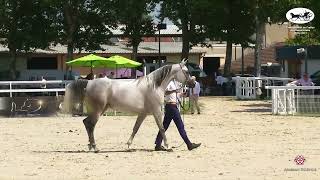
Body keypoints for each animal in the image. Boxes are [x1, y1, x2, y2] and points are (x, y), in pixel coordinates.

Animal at [63, 59, 195, 150]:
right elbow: (162, 128)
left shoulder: (143, 113)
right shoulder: (157, 111)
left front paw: (129, 145)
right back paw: (95, 147)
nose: (193, 83)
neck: (154, 86)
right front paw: (167, 146)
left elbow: (136, 128)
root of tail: (89, 83)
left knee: (87, 123)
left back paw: (91, 146)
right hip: (97, 110)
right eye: (186, 71)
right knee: (90, 124)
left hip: (99, 110)